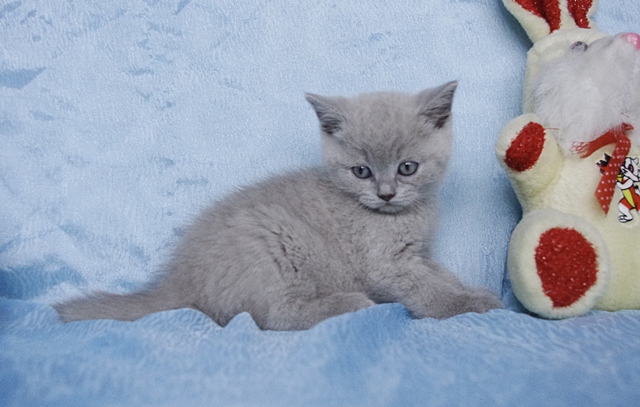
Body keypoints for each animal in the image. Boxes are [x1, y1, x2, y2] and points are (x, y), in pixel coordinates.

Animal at [54, 81, 502, 330]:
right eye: (361, 171)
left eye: (407, 167)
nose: (386, 192)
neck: (398, 217)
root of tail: (181, 280)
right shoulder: (387, 264)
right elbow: (427, 291)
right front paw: (469, 305)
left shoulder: (420, 255)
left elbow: (441, 276)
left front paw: (469, 290)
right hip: (271, 244)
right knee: (271, 317)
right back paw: (348, 304)